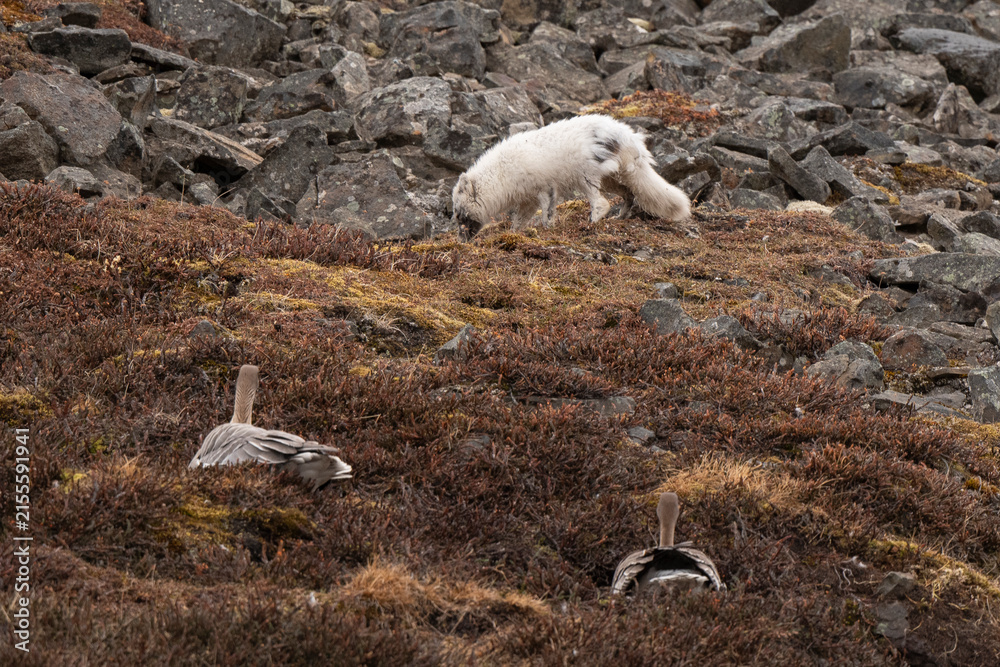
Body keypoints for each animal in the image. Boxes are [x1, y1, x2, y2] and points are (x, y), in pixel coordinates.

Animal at [451, 114, 690, 240]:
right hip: (612, 179)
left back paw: (591, 224)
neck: (501, 173)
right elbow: (518, 222)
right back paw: (619, 218)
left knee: (601, 203)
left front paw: (546, 231)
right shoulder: (528, 199)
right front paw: (514, 235)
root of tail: (628, 137)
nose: (462, 241)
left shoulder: (545, 188)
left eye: (459, 214)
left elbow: (547, 214)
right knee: (629, 195)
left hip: (587, 176)